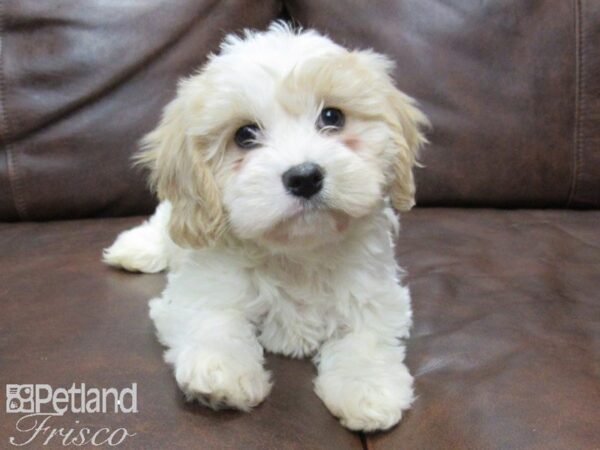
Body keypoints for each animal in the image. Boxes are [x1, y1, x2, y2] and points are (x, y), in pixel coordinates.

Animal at [105, 22, 428, 432]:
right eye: (245, 135)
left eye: (332, 116)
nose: (304, 177)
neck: (296, 254)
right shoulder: (199, 289)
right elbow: (214, 318)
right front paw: (222, 372)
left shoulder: (376, 295)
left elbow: (365, 338)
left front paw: (368, 388)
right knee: (163, 224)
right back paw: (133, 248)